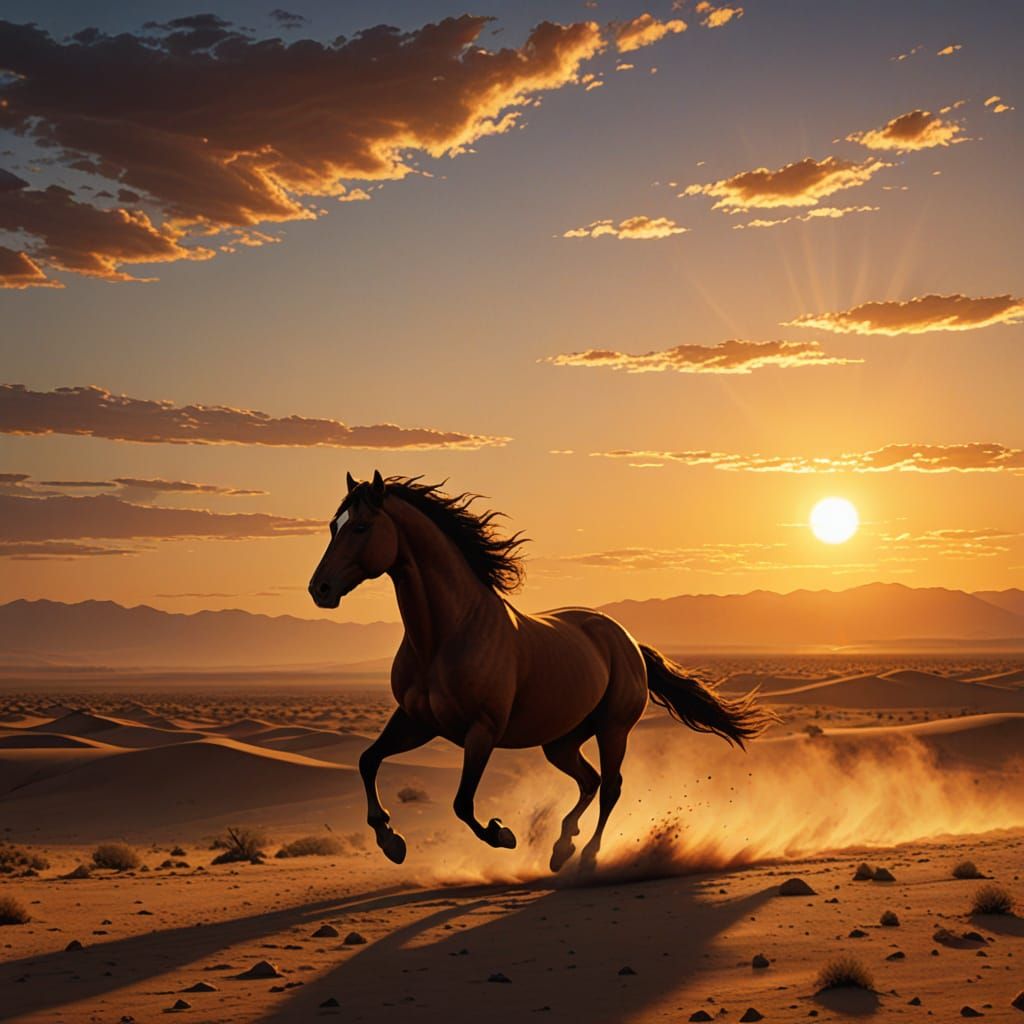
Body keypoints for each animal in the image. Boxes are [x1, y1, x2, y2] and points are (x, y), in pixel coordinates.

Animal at [309, 472, 774, 872]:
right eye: (333, 525)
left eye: (361, 527)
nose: (319, 589)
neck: (445, 636)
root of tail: (626, 640)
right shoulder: (417, 721)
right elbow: (367, 760)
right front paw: (390, 839)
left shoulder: (482, 730)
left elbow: (462, 804)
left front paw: (503, 834)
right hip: (561, 741)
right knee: (588, 781)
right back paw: (562, 846)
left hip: (613, 729)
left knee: (610, 787)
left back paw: (586, 855)